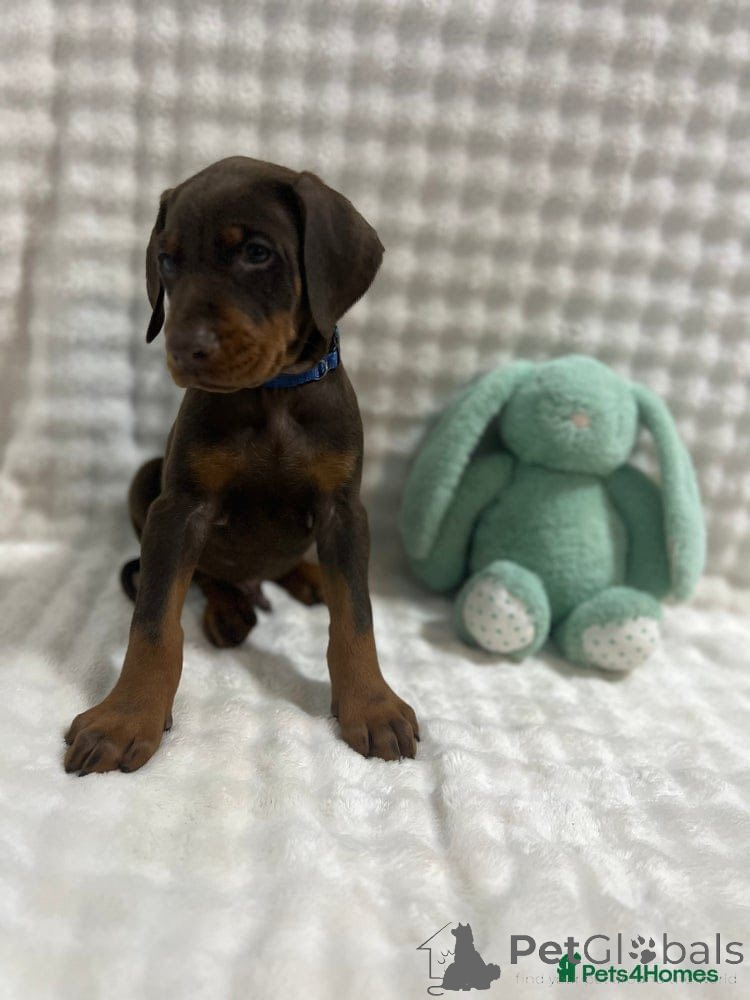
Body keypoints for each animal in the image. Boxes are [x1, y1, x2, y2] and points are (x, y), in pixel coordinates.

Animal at [63, 156, 419, 775]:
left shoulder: (344, 510)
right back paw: (229, 608)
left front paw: (373, 707)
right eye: (167, 260)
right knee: (210, 574)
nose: (182, 348)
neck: (272, 393)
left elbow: (357, 617)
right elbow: (152, 623)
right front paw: (126, 717)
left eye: (256, 253)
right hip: (145, 480)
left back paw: (309, 576)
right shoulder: (178, 509)